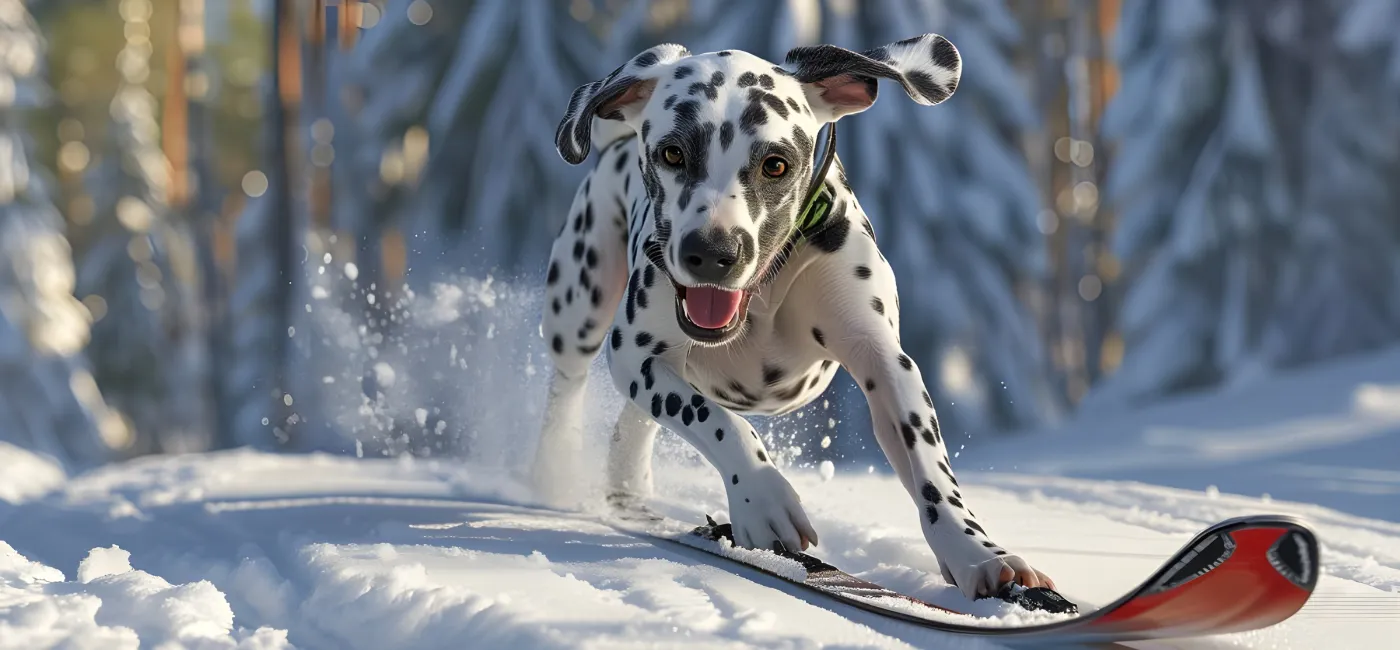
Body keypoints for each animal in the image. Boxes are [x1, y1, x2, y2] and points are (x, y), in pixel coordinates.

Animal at [529, 32, 1052, 602]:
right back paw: (555, 469)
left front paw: (979, 555)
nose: (711, 252)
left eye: (775, 164)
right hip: (580, 304)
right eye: (672, 153)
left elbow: (931, 471)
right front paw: (762, 499)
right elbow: (714, 419)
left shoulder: (885, 362)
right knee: (569, 384)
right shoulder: (635, 356)